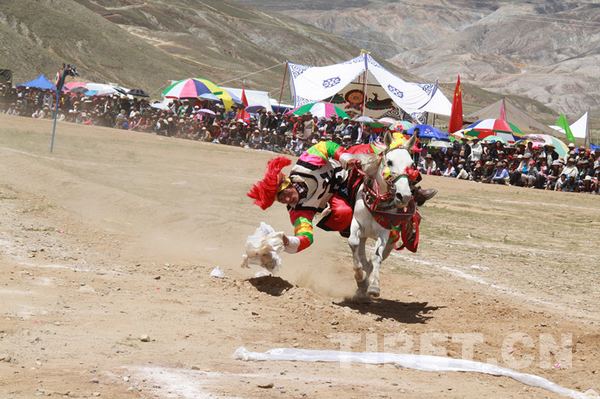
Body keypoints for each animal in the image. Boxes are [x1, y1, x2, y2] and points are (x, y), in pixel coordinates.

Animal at [350, 133, 420, 298]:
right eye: (389, 162)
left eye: (412, 164)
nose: (404, 196)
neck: (377, 203)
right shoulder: (357, 223)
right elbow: (353, 243)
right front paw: (359, 277)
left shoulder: (384, 232)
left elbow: (377, 257)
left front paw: (374, 286)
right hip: (364, 234)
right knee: (362, 254)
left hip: (391, 241)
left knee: (376, 259)